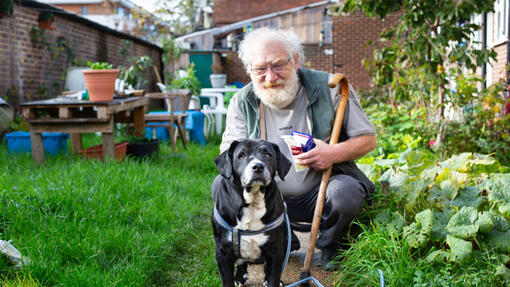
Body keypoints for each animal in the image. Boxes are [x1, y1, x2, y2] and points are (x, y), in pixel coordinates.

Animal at [211, 140, 290, 287]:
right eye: (242, 155)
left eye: (268, 155)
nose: (258, 167)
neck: (252, 202)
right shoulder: (222, 251)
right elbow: (227, 279)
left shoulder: (276, 250)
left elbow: (274, 277)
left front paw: (272, 280)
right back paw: (239, 276)